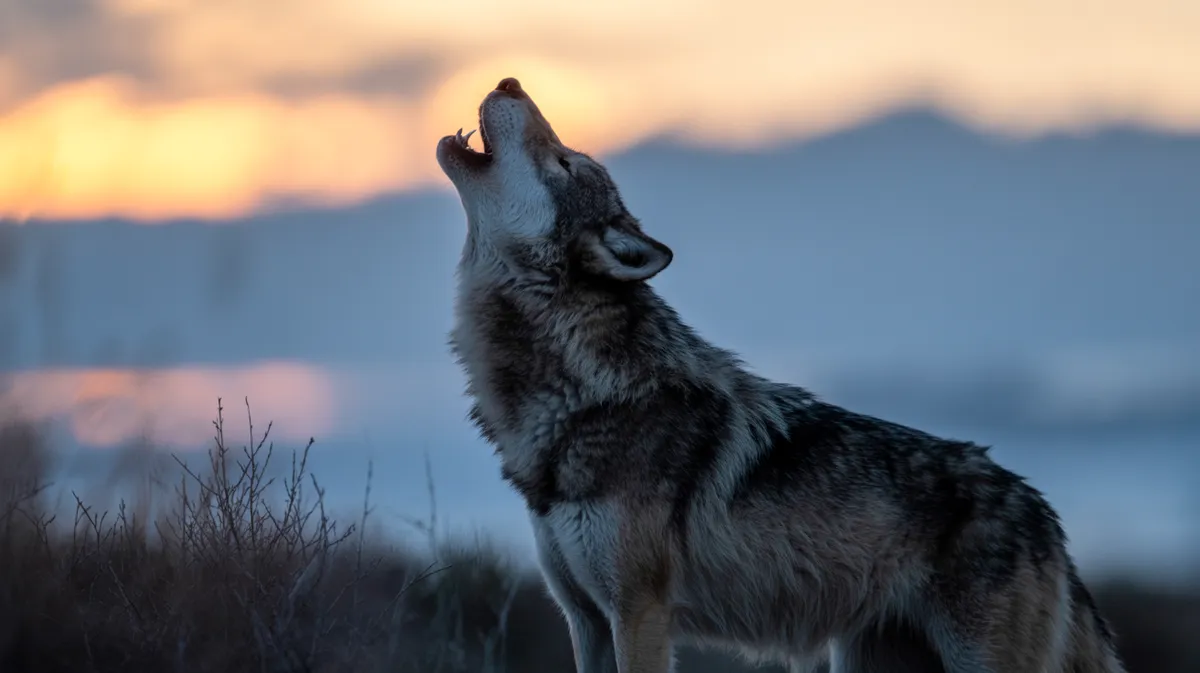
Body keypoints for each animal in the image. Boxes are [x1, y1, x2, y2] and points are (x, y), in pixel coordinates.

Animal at [435, 77, 1127, 673]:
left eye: (563, 163)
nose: (509, 81)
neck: (585, 392)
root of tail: (1045, 516)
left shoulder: (639, 614)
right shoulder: (586, 620)